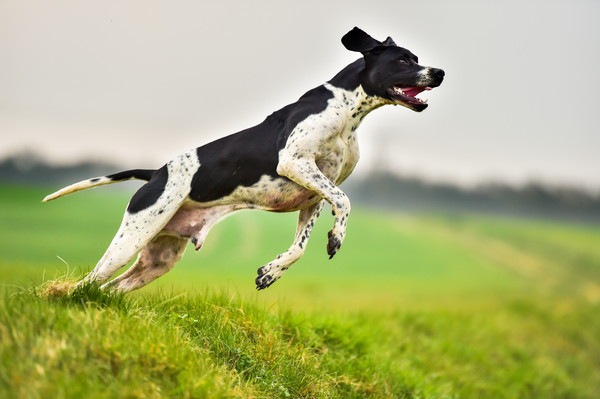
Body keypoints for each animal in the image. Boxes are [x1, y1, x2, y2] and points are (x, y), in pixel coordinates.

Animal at [42, 27, 442, 290]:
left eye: (417, 59)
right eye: (403, 59)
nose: (439, 72)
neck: (346, 111)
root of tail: (156, 173)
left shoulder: (312, 195)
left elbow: (299, 248)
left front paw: (271, 271)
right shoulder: (294, 163)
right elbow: (344, 201)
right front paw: (336, 238)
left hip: (158, 259)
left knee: (109, 289)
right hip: (132, 238)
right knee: (88, 283)